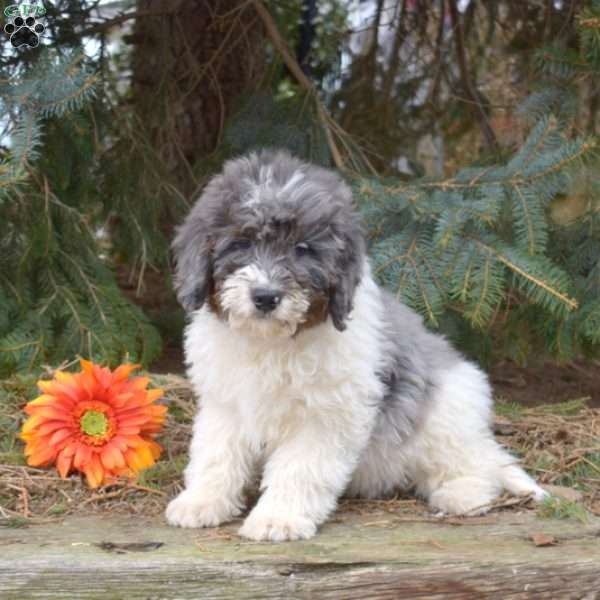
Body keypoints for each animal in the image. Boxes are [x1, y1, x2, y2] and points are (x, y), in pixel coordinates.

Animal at [165, 150, 548, 544]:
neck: (272, 341)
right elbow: (216, 454)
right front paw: (201, 501)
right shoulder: (225, 404)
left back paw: (462, 494)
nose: (266, 296)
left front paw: (278, 518)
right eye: (241, 243)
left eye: (303, 249)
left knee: (474, 464)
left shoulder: (325, 415)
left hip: (445, 417)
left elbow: (298, 468)